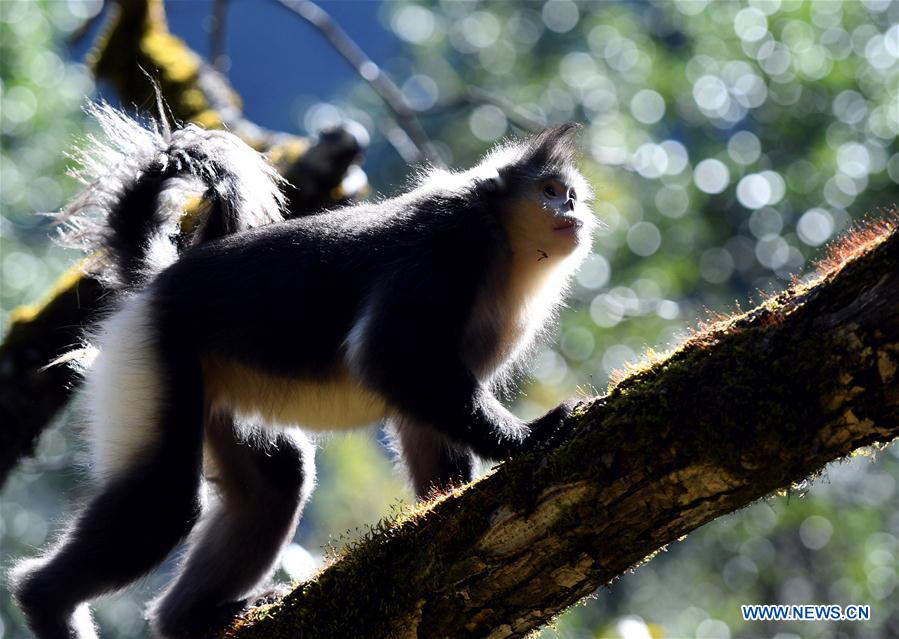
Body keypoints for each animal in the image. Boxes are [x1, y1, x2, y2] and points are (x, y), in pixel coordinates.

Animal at [10, 105, 595, 639]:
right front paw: (528, 437)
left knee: (275, 484)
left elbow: (418, 415)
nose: (572, 210)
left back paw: (191, 618)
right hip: (150, 354)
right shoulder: (451, 242)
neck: (503, 245)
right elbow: (387, 357)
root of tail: (157, 282)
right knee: (168, 495)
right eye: (549, 190)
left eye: (570, 194)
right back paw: (44, 600)